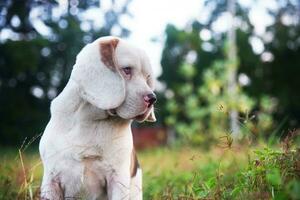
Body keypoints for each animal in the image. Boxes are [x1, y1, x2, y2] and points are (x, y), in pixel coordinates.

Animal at [39, 36, 157, 200]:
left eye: (147, 78)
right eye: (127, 70)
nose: (152, 98)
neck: (90, 120)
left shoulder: (117, 179)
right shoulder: (51, 181)